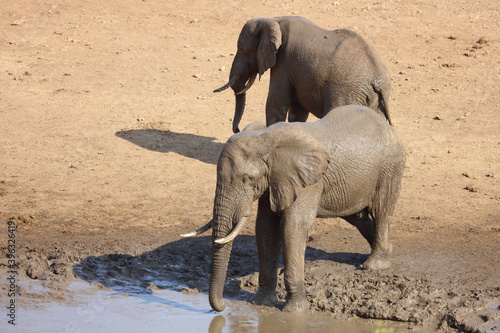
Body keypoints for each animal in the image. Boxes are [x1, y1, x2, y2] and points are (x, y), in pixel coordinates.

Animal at [182, 105, 404, 312]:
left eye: (247, 179)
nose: (221, 306)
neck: (266, 139)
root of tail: (388, 127)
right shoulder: (274, 180)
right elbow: (265, 228)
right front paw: (261, 303)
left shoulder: (308, 181)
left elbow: (293, 227)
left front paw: (295, 311)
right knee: (357, 216)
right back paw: (388, 248)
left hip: (390, 165)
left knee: (381, 210)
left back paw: (374, 265)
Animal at [213, 15, 392, 132]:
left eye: (242, 50)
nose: (237, 130)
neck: (274, 20)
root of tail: (379, 79)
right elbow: (297, 112)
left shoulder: (283, 62)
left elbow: (276, 103)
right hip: (373, 100)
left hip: (346, 92)